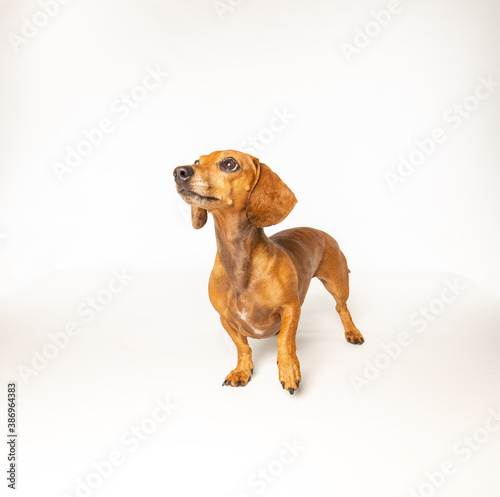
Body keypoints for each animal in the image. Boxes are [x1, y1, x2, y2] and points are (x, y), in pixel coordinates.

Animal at [174, 149, 366, 394]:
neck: (238, 263)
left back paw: (352, 332)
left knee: (341, 308)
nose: (179, 171)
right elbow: (243, 346)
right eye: (197, 160)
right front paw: (242, 370)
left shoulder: (291, 308)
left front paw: (288, 370)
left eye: (229, 163)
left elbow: (285, 340)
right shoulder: (225, 319)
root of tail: (321, 232)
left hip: (337, 283)